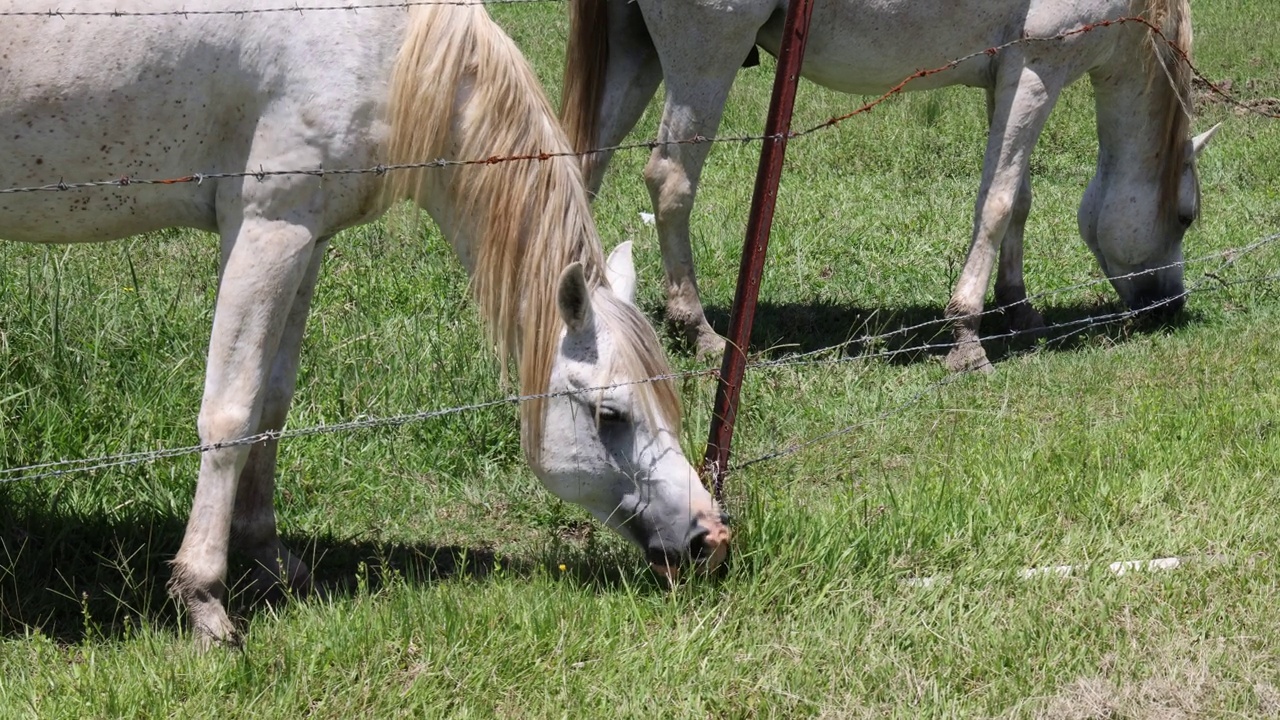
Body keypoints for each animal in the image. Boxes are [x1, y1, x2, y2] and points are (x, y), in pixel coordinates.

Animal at [0, 0, 727, 640]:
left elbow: (271, 404)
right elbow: (229, 416)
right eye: (611, 414)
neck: (389, 41)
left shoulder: (306, 238)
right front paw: (203, 598)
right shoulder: (265, 229)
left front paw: (270, 560)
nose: (709, 535)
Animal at [560, 0, 1218, 366]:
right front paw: (966, 336)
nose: (1169, 306)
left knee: (582, 169)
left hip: (634, 52)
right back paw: (697, 330)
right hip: (704, 58)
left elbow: (1017, 196)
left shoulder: (1009, 79)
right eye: (1185, 216)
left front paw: (1018, 307)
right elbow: (998, 200)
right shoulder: (1039, 67)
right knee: (669, 182)